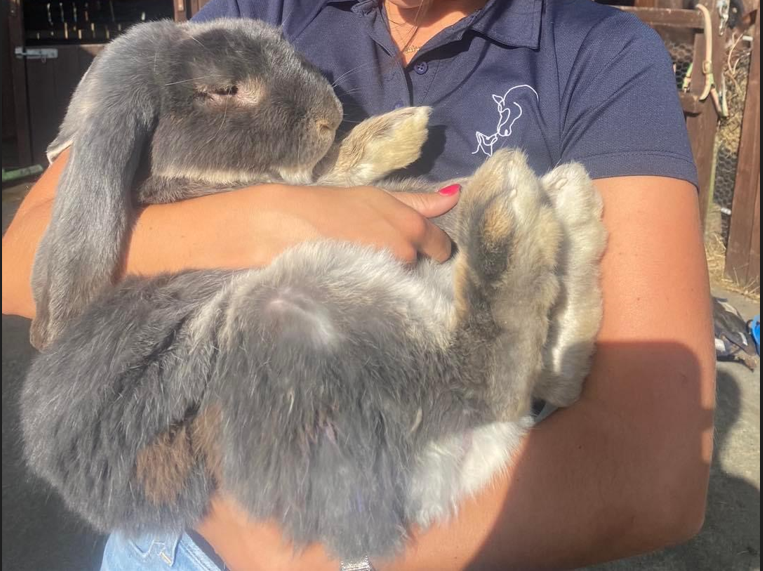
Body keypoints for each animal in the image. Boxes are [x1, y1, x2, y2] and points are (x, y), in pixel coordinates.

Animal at [20, 16, 608, 564]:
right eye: (225, 89)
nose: (329, 115)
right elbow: (325, 181)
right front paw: (398, 134)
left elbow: (331, 173)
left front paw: (396, 132)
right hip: (290, 310)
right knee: (492, 378)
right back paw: (512, 207)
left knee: (550, 376)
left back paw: (566, 211)